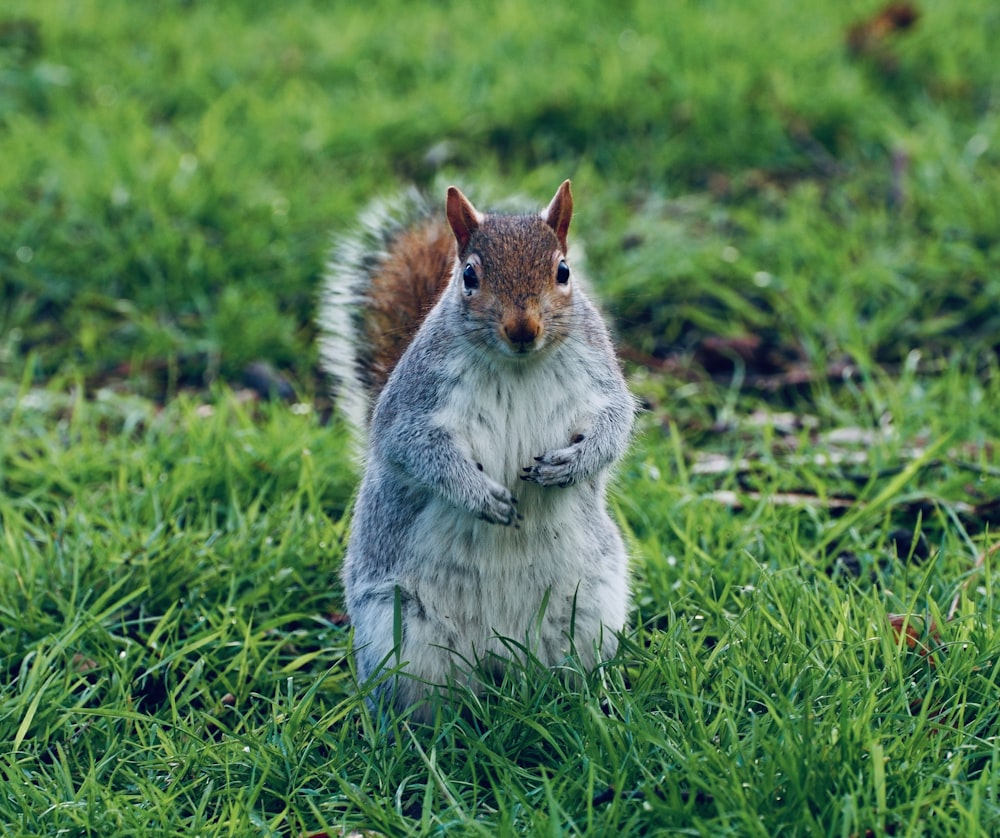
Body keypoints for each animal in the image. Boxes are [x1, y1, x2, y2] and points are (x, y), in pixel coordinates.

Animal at [316, 179, 636, 720]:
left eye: (563, 272)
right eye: (469, 275)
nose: (523, 329)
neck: (518, 365)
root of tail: (500, 657)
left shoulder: (600, 376)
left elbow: (615, 424)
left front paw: (570, 466)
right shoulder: (414, 402)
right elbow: (414, 449)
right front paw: (480, 495)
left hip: (589, 610)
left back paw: (586, 703)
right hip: (399, 632)